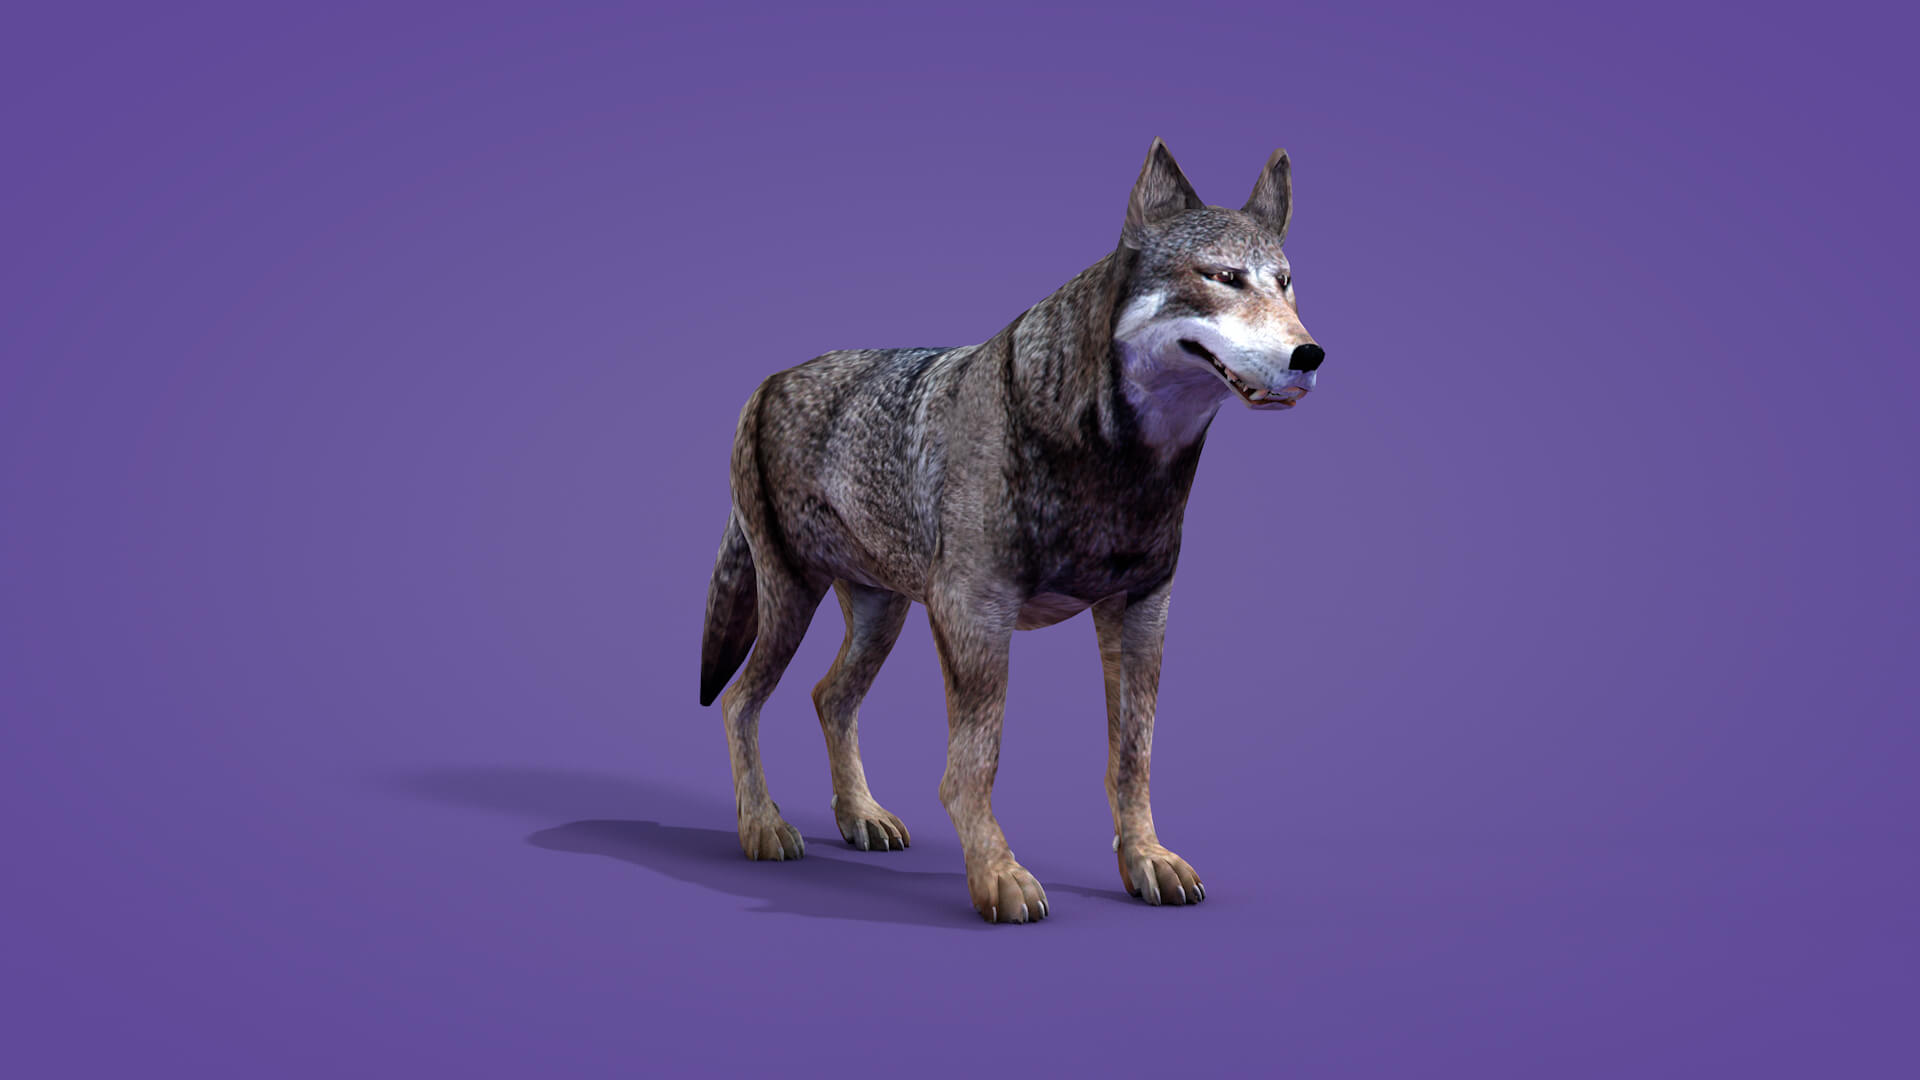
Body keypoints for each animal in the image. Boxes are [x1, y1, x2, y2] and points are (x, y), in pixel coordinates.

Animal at [697, 138, 1326, 923]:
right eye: (1223, 277)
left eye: (1286, 284)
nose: (1311, 357)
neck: (1115, 462)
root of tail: (766, 382)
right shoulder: (975, 612)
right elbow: (975, 763)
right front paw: (996, 873)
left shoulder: (1143, 608)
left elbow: (1133, 755)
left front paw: (1145, 859)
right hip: (792, 601)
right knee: (739, 702)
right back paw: (763, 825)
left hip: (881, 615)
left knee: (827, 698)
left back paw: (859, 816)